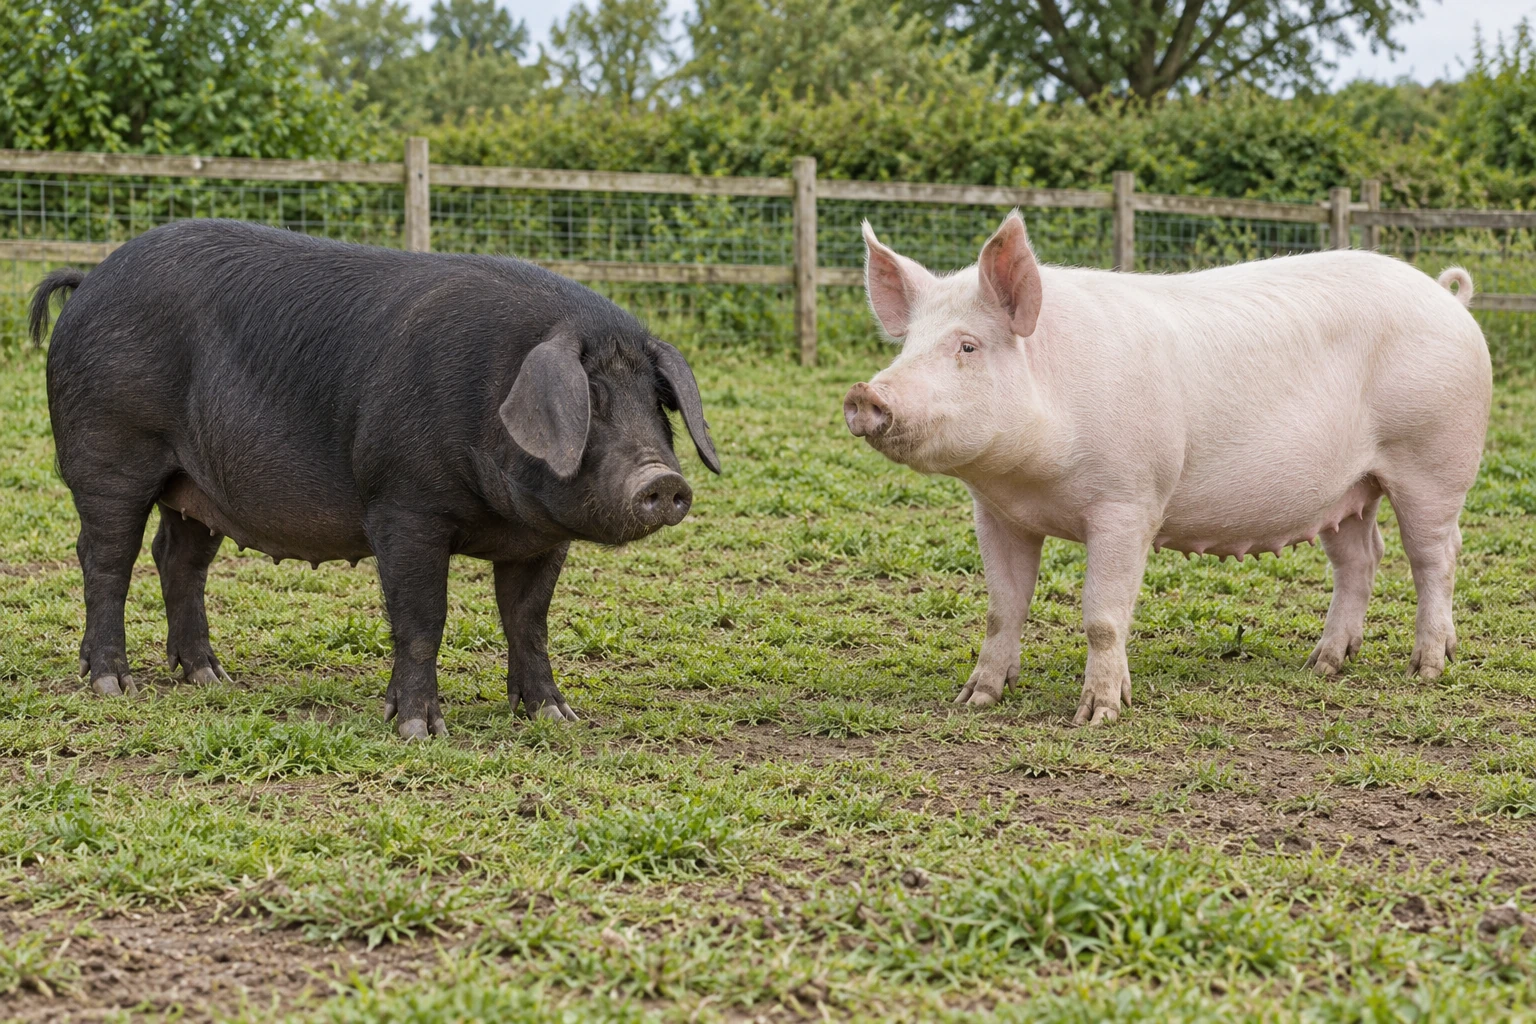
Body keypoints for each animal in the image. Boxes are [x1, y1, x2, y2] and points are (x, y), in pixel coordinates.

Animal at [30, 219, 720, 740]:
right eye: (591, 402)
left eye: (656, 404)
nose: (662, 480)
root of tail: (89, 279)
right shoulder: (402, 505)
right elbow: (422, 617)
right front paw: (418, 731)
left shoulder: (541, 540)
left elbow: (528, 620)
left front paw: (557, 716)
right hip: (108, 452)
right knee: (105, 558)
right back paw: (112, 686)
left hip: (199, 483)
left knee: (178, 558)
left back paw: (210, 678)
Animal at [844, 212, 1491, 726]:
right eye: (907, 345)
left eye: (968, 346)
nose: (863, 394)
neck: (1030, 481)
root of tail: (1448, 297)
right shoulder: (997, 512)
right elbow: (1003, 607)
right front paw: (975, 700)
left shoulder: (1129, 502)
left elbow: (1104, 617)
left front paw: (1098, 715)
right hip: (1348, 488)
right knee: (1362, 557)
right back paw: (1323, 665)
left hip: (1434, 461)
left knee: (1436, 555)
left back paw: (1428, 669)